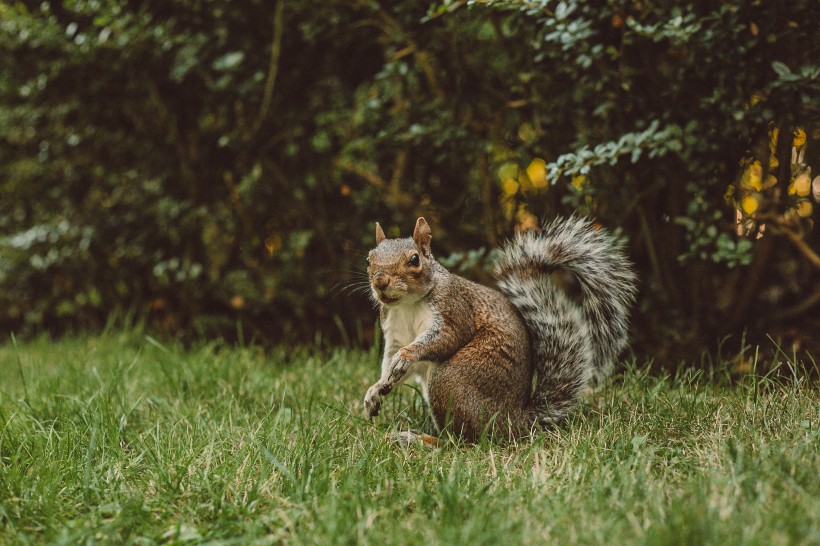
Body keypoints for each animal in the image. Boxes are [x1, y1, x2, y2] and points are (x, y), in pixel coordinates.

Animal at [362, 215, 636, 440]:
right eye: (369, 259)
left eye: (414, 259)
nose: (380, 282)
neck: (408, 304)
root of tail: (514, 422)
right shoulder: (395, 329)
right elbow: (391, 365)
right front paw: (376, 389)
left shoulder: (454, 308)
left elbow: (449, 337)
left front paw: (407, 355)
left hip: (452, 380)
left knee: (460, 442)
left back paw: (423, 441)